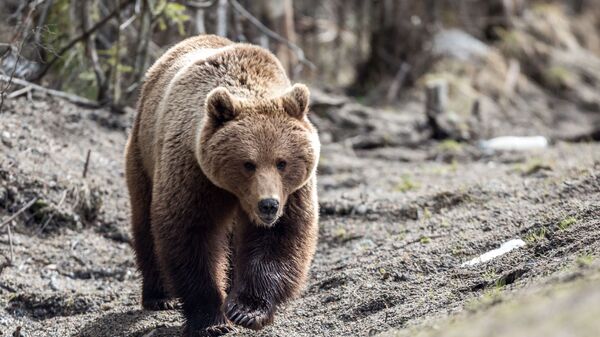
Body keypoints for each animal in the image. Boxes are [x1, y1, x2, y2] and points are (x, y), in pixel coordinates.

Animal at [125, 34, 322, 336]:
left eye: (282, 162)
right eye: (248, 163)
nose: (268, 205)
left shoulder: (294, 192)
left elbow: (280, 236)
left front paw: (246, 310)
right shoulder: (194, 173)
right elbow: (191, 234)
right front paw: (211, 320)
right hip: (143, 152)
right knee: (145, 221)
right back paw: (159, 296)